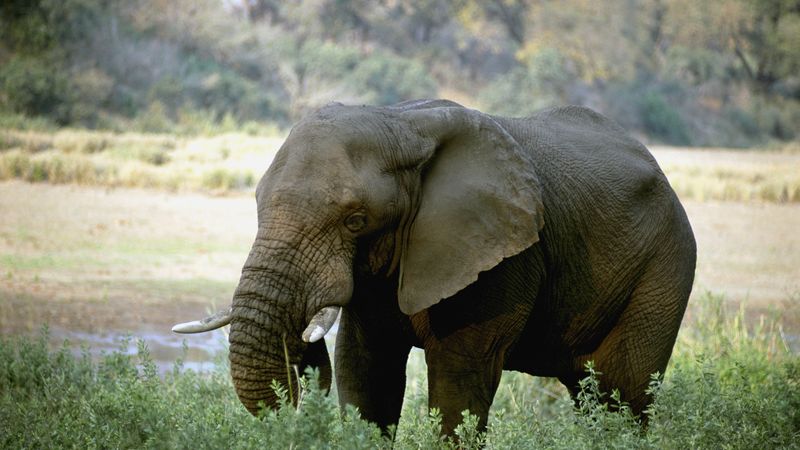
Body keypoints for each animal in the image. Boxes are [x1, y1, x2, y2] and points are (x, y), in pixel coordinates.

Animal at [173, 99, 696, 436]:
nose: (304, 352)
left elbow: (457, 385)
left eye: (355, 220)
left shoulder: (500, 257)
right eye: (257, 203)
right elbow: (366, 374)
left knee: (623, 394)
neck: (403, 123)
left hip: (665, 265)